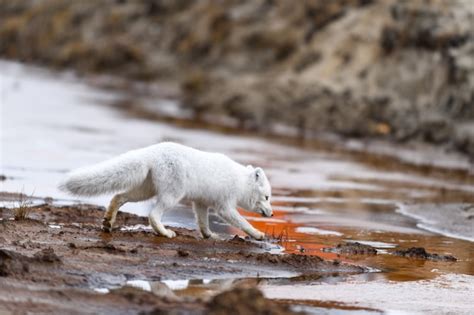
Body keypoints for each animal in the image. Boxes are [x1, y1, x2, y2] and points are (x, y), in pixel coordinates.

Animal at [58, 142, 274, 241]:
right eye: (267, 197)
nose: (272, 214)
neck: (240, 182)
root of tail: (151, 151)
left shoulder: (201, 203)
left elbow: (202, 222)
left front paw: (210, 236)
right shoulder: (225, 206)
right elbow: (242, 222)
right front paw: (258, 234)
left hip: (145, 191)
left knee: (119, 196)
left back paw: (108, 222)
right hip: (172, 196)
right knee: (153, 214)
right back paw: (164, 232)